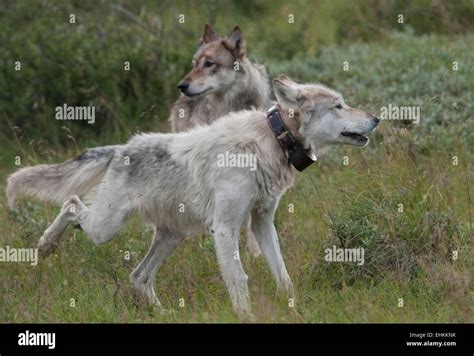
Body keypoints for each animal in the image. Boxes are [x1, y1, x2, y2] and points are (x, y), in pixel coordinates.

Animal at [6, 75, 378, 318]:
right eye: (339, 105)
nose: (376, 117)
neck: (272, 141)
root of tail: (120, 148)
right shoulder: (225, 229)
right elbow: (239, 280)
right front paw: (246, 317)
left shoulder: (261, 224)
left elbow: (282, 275)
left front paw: (294, 308)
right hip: (105, 228)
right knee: (71, 203)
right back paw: (46, 244)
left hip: (172, 236)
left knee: (138, 275)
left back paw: (165, 314)